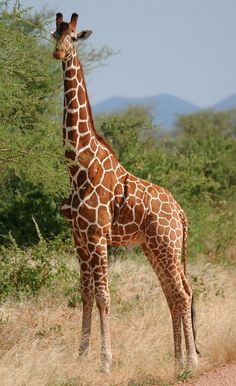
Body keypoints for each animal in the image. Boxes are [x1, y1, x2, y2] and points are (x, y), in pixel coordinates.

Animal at [52, 12, 199, 374]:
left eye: (73, 37)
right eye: (53, 34)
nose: (59, 53)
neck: (80, 166)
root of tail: (181, 213)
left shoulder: (97, 236)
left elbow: (104, 296)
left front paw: (105, 362)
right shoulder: (79, 237)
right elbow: (86, 293)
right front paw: (81, 356)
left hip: (167, 244)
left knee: (183, 292)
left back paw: (191, 362)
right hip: (154, 247)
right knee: (173, 293)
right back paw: (177, 361)